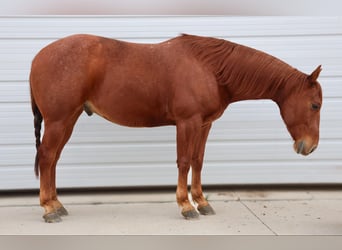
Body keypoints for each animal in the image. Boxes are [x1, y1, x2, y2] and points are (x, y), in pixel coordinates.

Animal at [30, 33, 324, 223]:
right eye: (315, 105)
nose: (310, 147)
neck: (210, 69)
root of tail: (38, 57)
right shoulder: (187, 122)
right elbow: (184, 161)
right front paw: (186, 206)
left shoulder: (204, 124)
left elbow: (197, 160)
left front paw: (202, 202)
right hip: (59, 120)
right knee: (46, 157)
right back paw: (48, 209)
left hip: (68, 119)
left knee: (52, 159)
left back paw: (56, 204)